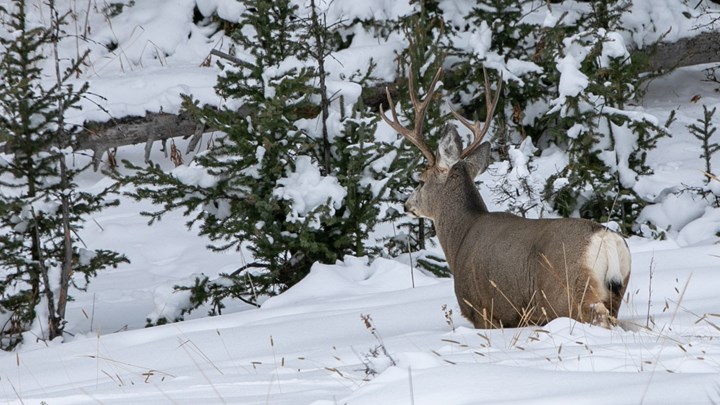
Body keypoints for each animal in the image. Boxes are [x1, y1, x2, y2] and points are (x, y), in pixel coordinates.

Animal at [380, 68, 632, 328]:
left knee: (597, 316)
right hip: (617, 291)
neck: (460, 236)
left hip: (567, 290)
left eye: (420, 180)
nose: (407, 205)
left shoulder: (482, 309)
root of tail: (606, 238)